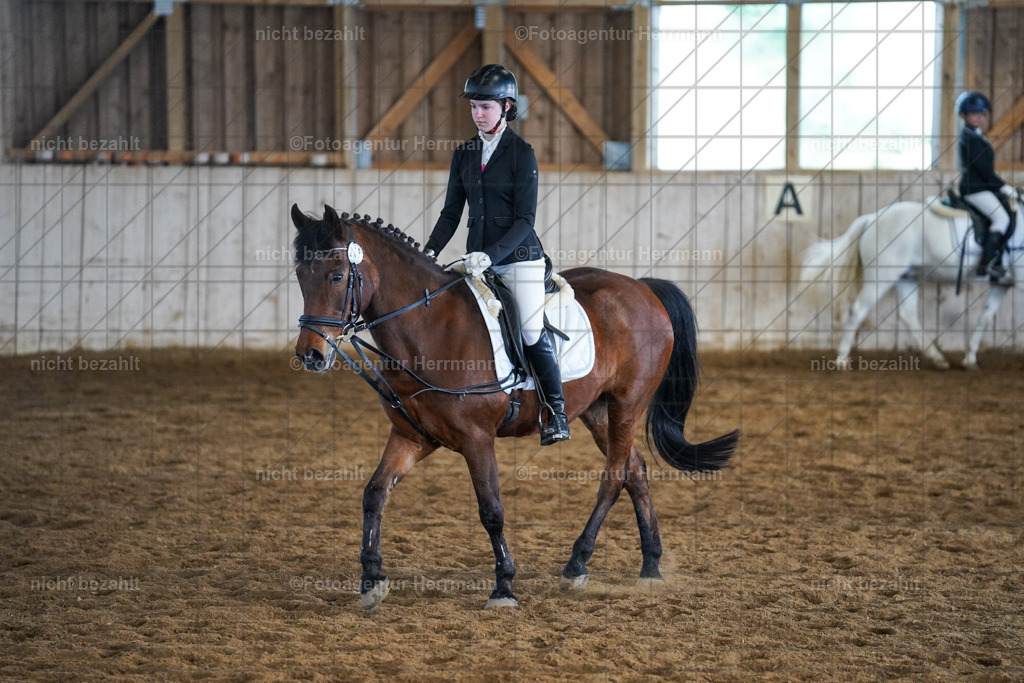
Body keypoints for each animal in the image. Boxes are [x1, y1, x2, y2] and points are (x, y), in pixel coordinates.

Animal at [290, 204, 739, 610]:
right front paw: (372, 580)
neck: (428, 329)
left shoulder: (477, 438)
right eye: (299, 276)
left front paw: (503, 587)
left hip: (628, 402)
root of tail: (642, 287)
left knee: (613, 477)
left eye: (336, 276)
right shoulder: (412, 436)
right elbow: (374, 493)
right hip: (596, 410)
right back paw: (650, 567)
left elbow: (491, 511)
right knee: (636, 470)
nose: (310, 355)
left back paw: (576, 565)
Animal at [800, 195, 1021, 370]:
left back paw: (937, 357)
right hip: (882, 277)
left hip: (906, 277)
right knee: (858, 310)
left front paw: (970, 359)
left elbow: (985, 317)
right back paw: (842, 361)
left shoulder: (1001, 285)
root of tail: (871, 218)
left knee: (908, 315)